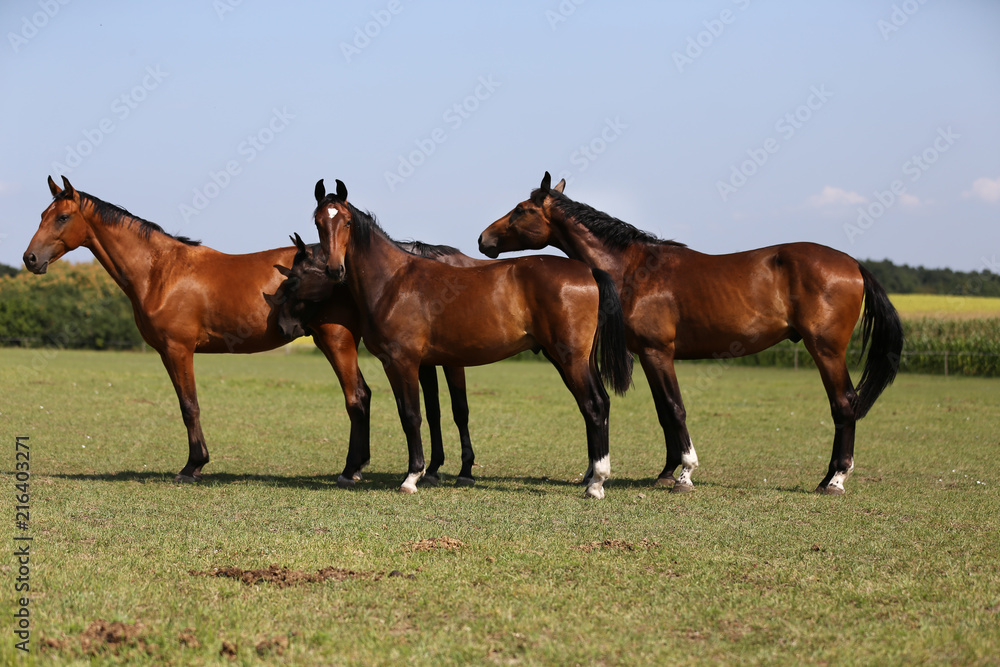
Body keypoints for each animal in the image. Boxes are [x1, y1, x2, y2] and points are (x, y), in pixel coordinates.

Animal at [270, 231, 484, 486]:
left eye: (293, 280)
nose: (282, 326)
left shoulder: (452, 361)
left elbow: (460, 410)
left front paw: (465, 471)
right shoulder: (424, 362)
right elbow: (433, 411)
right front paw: (432, 469)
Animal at [310, 178, 633, 498]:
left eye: (347, 222)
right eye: (318, 222)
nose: (334, 269)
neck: (394, 281)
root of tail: (588, 271)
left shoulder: (404, 362)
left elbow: (412, 415)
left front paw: (413, 476)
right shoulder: (410, 364)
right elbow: (419, 413)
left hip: (571, 360)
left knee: (594, 405)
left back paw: (596, 483)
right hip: (575, 359)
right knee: (599, 403)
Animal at [478, 172, 904, 495]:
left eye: (522, 210)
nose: (484, 239)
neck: (633, 268)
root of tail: (853, 264)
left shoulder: (658, 352)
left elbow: (675, 408)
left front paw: (684, 474)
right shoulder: (648, 355)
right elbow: (664, 412)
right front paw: (666, 473)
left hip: (827, 351)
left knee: (844, 404)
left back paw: (835, 479)